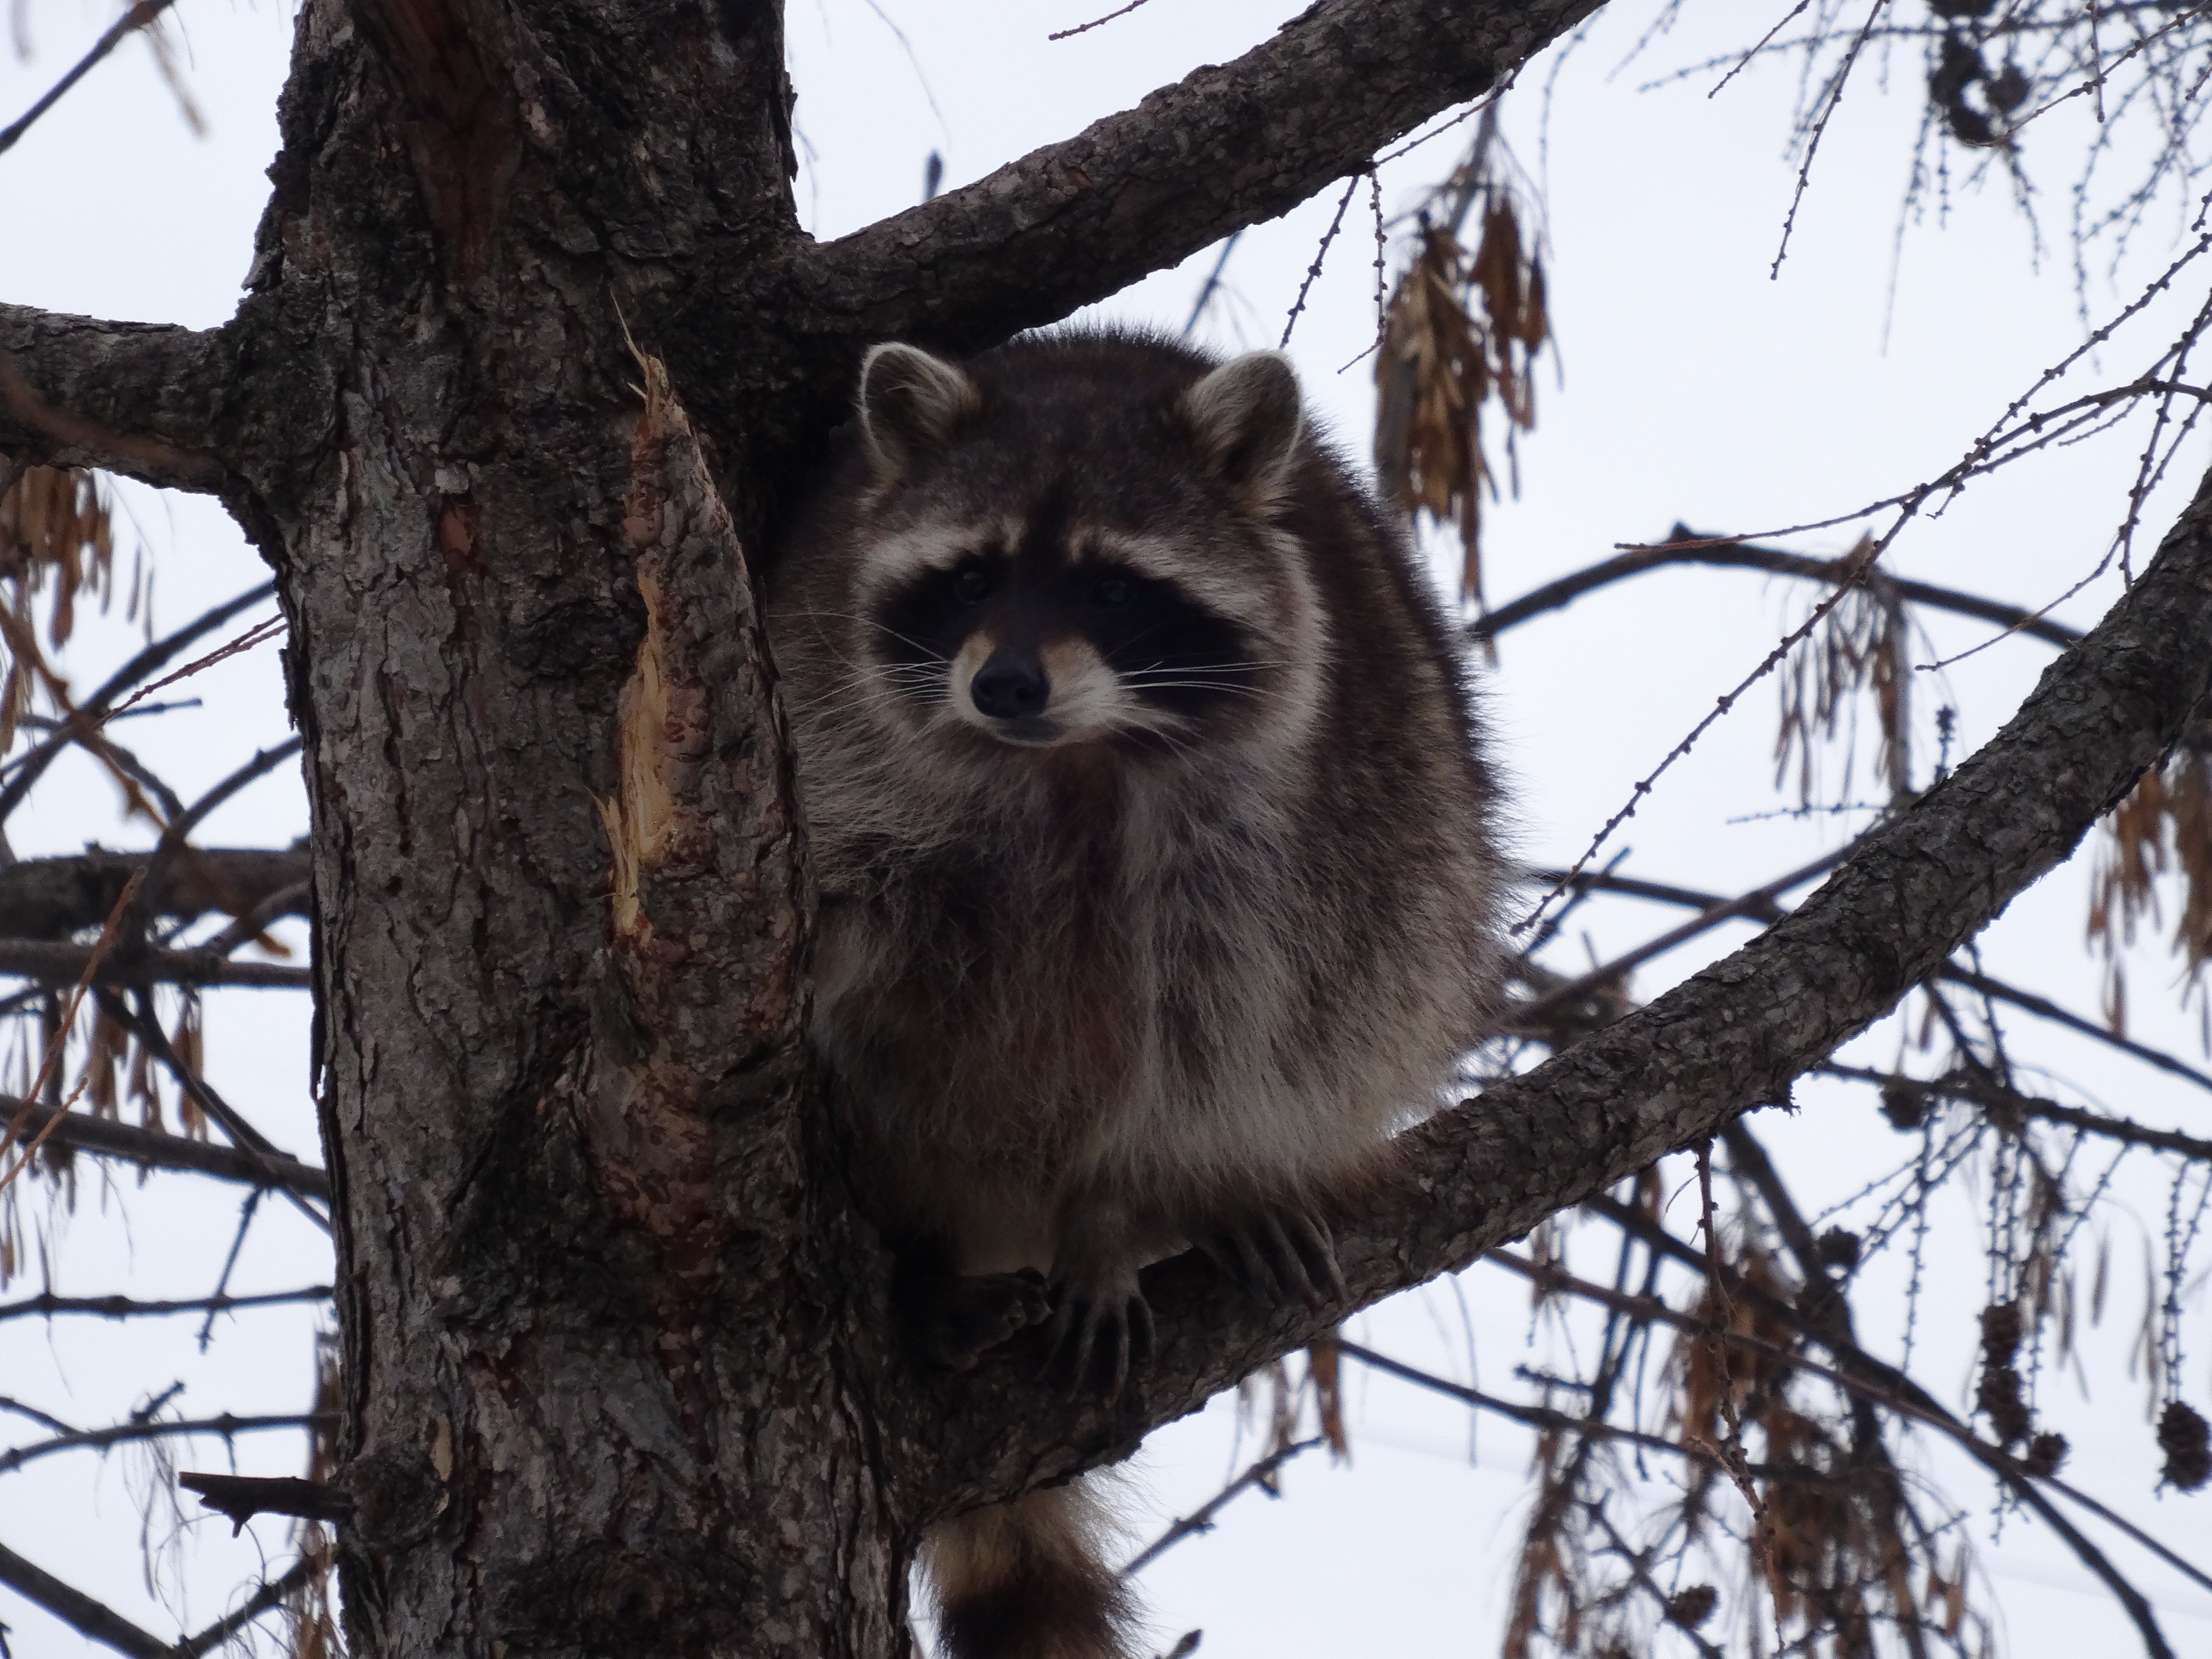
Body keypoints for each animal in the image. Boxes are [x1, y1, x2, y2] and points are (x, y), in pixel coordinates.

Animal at [761, 327, 1504, 1659]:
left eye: (1111, 588)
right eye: (971, 577)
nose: (1005, 685)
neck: (1075, 761)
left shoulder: (1286, 828)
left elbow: (1228, 1026)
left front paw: (1115, 1206)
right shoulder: (837, 737)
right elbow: (858, 959)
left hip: (1410, 826)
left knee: (1332, 1020)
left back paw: (1208, 1193)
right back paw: (928, 1267)